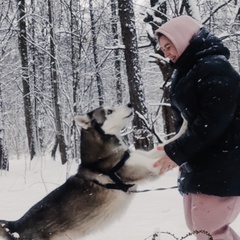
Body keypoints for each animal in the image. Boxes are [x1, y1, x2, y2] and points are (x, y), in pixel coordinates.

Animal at [0, 103, 188, 240]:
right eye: (109, 111)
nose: (129, 103)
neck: (102, 154)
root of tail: (15, 226)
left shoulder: (146, 156)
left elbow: (167, 144)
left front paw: (184, 124)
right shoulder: (148, 167)